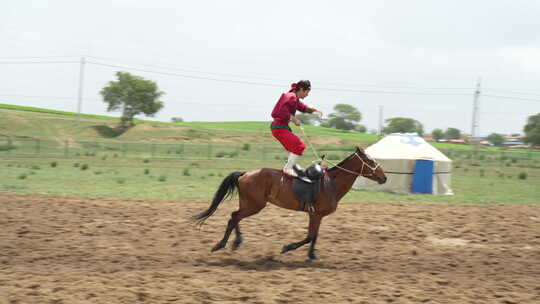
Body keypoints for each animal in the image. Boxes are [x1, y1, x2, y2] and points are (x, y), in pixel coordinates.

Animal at [192, 147, 386, 258]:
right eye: (370, 161)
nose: (384, 177)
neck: (331, 183)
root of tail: (245, 173)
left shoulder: (318, 216)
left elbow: (314, 236)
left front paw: (312, 255)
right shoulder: (315, 215)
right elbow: (309, 236)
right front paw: (288, 247)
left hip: (249, 204)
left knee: (235, 217)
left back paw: (235, 242)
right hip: (254, 205)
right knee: (234, 217)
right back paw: (221, 244)